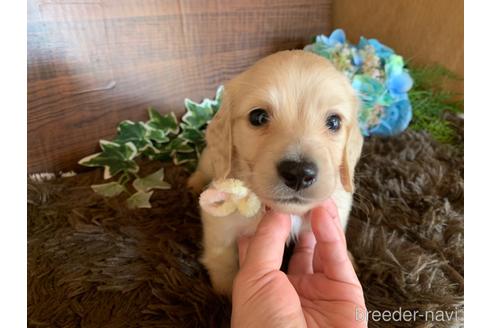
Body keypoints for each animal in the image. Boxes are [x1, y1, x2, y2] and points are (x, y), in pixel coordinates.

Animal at [186, 50, 364, 296]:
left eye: (334, 122)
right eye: (258, 117)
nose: (299, 173)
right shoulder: (219, 222)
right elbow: (222, 258)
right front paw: (225, 294)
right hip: (210, 159)